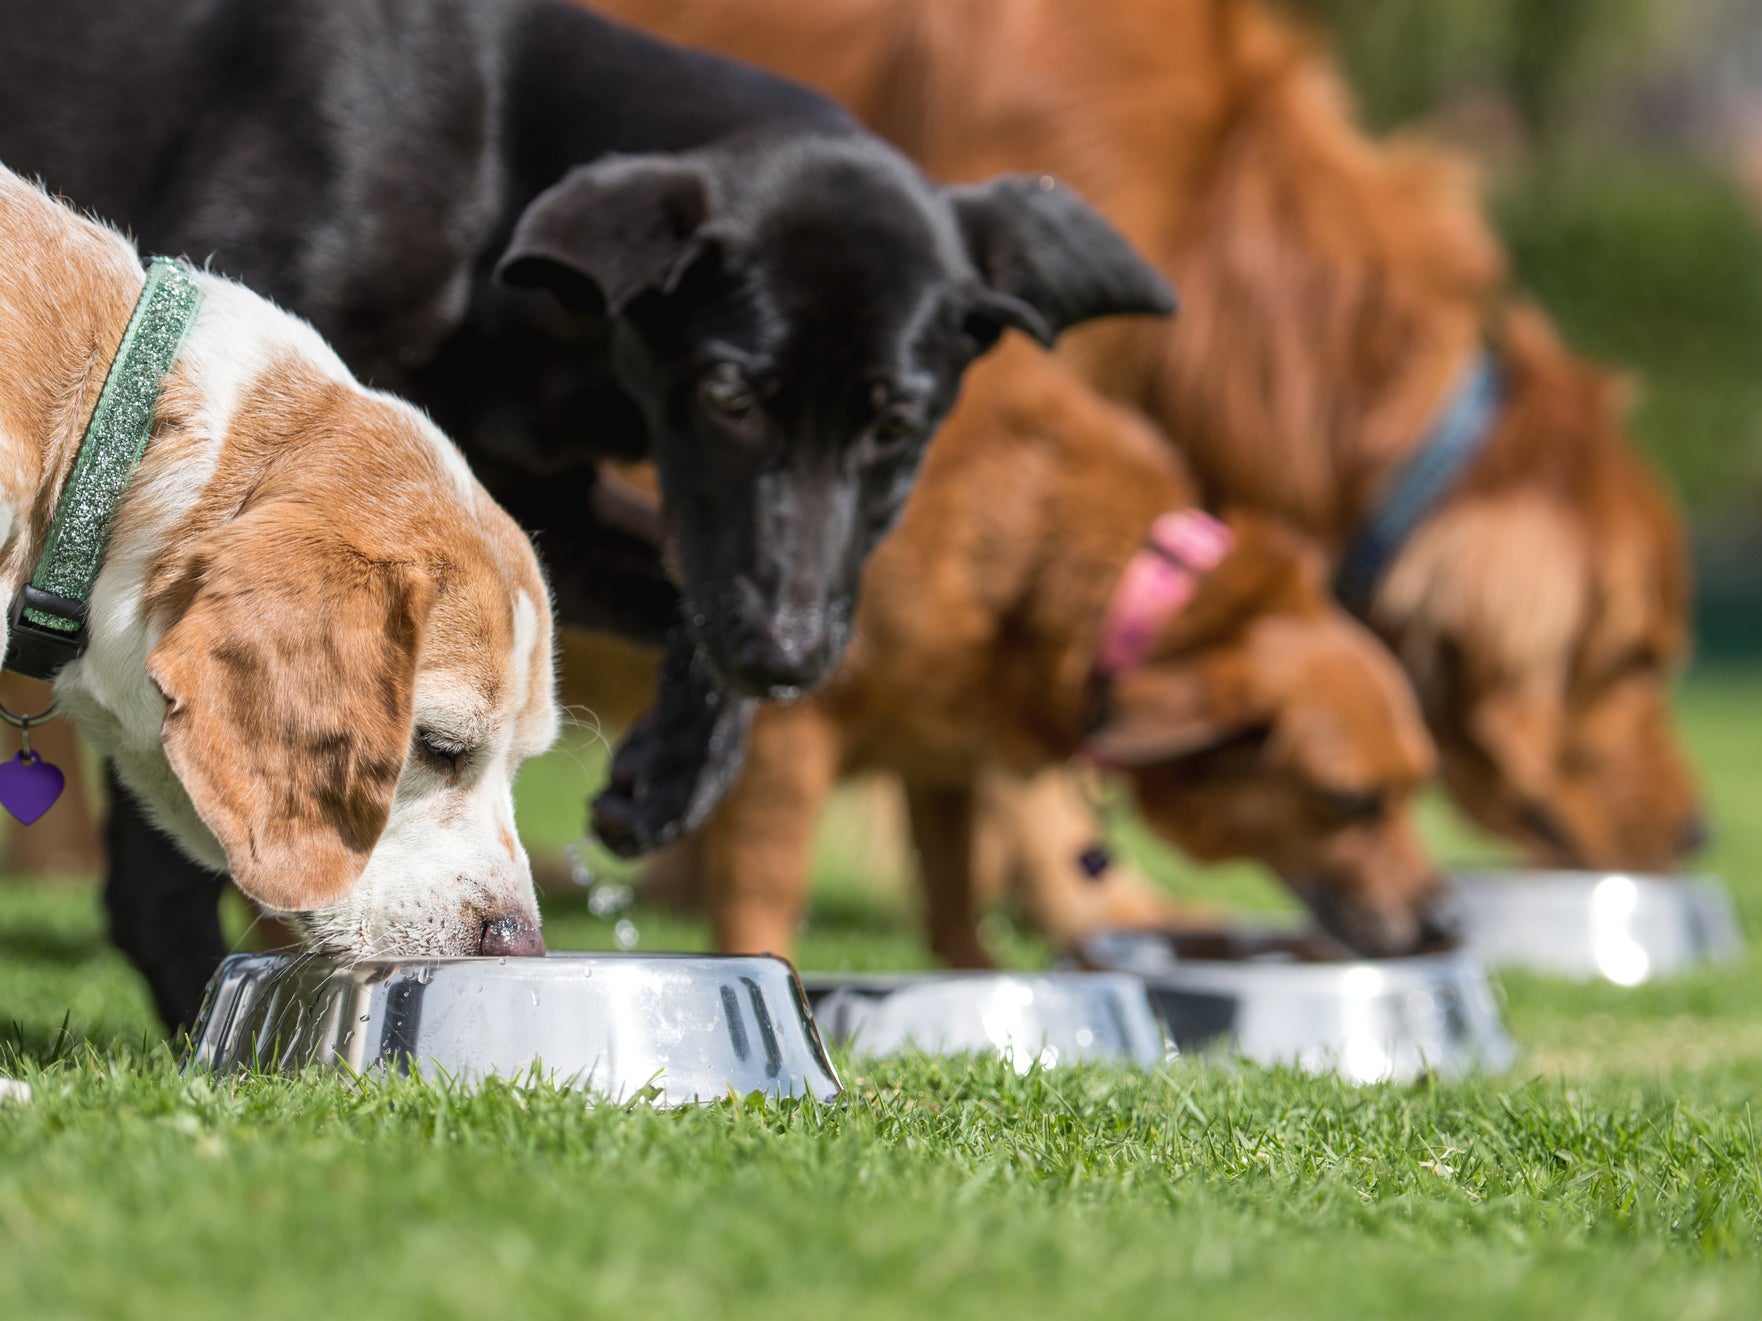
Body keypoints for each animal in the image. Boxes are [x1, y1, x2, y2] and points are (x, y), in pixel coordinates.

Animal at [683, 341, 1430, 965]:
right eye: (1350, 800)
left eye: (1414, 788)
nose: (1443, 920)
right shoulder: (784, 730)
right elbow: (766, 894)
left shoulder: (938, 757)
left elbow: (953, 900)